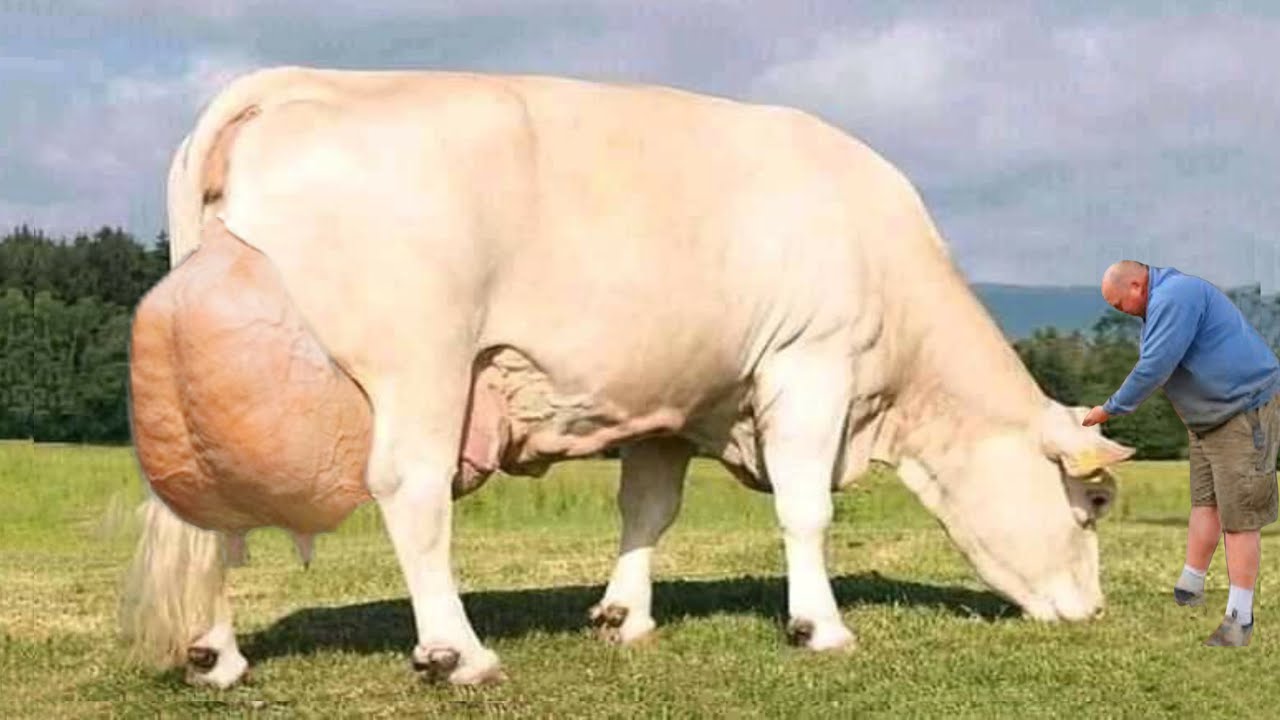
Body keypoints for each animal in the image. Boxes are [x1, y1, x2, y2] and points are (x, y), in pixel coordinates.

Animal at [120, 65, 1134, 689]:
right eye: (1091, 504)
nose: (1093, 614)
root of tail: (295, 81)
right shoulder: (810, 360)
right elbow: (806, 509)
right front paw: (821, 628)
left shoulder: (671, 402)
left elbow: (647, 510)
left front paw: (624, 616)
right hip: (421, 359)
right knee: (411, 493)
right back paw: (457, 653)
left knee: (199, 512)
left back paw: (215, 656)